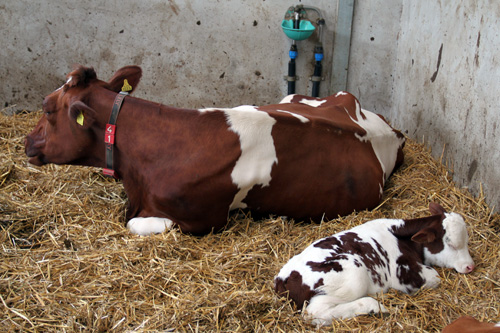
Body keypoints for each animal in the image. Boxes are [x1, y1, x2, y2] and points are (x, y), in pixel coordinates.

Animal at [274, 201, 472, 326]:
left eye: (467, 240)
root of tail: (282, 279)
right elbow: (435, 277)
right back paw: (373, 307)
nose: (470, 266)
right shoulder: (404, 275)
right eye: (451, 244)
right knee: (315, 313)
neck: (399, 234)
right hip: (352, 275)